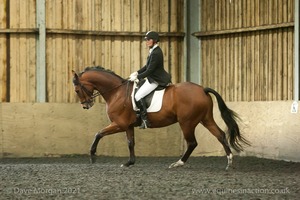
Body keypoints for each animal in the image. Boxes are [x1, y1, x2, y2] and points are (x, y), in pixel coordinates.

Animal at [71, 66, 250, 170]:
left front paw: (92, 156)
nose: (86, 105)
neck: (116, 92)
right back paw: (229, 163)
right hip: (205, 119)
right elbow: (130, 143)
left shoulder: (119, 124)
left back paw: (178, 163)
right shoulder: (128, 126)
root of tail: (202, 89)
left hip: (187, 122)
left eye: (77, 90)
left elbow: (98, 133)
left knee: (192, 142)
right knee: (220, 135)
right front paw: (130, 162)